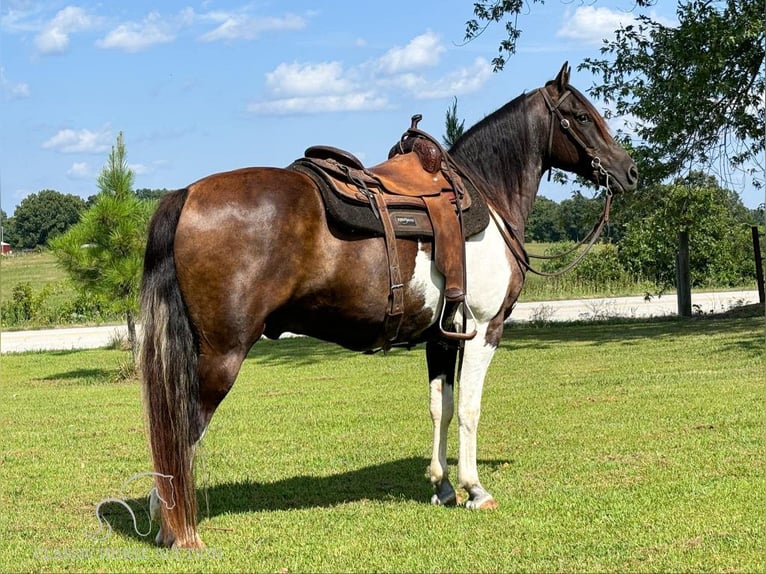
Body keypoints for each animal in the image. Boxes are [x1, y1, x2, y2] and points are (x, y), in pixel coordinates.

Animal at [141, 63, 640, 548]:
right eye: (580, 117)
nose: (629, 171)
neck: (486, 199)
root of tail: (186, 194)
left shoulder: (442, 336)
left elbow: (442, 405)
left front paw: (442, 486)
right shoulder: (484, 328)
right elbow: (470, 408)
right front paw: (475, 489)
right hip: (221, 356)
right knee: (183, 430)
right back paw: (179, 529)